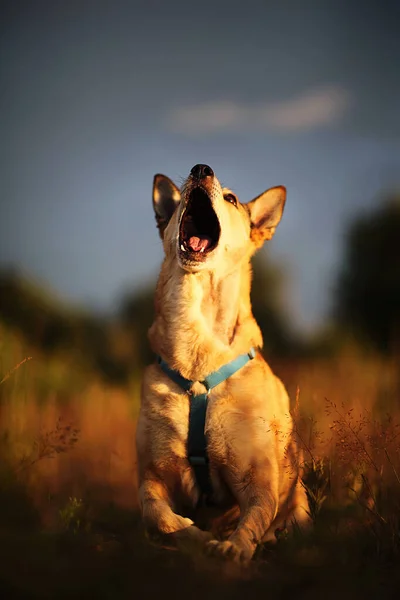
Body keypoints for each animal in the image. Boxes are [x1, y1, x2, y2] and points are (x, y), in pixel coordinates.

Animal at [137, 163, 310, 564]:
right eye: (182, 195)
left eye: (231, 199)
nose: (201, 169)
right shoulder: (152, 477)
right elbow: (157, 515)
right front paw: (193, 537)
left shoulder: (258, 482)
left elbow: (254, 519)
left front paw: (233, 547)